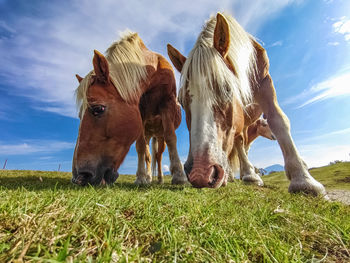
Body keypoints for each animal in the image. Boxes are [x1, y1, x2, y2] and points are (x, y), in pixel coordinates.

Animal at [70, 32, 189, 187]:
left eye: (98, 109)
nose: (79, 177)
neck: (154, 72)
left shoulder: (167, 104)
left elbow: (171, 138)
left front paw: (179, 176)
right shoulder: (140, 112)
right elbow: (140, 147)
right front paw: (141, 177)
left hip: (159, 133)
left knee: (159, 155)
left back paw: (160, 178)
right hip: (148, 132)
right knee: (149, 155)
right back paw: (149, 177)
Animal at [167, 13, 326, 197]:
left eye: (227, 89)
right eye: (181, 101)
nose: (200, 173)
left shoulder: (265, 82)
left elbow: (278, 120)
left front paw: (303, 179)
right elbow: (238, 142)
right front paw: (248, 175)